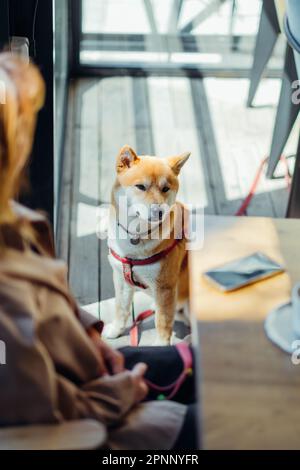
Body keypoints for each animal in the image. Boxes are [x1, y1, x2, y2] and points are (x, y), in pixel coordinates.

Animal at [104, 145, 191, 346]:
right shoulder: (121, 279)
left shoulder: (165, 288)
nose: (159, 212)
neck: (136, 236)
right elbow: (121, 309)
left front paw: (161, 346)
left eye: (165, 188)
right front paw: (115, 330)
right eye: (141, 187)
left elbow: (163, 322)